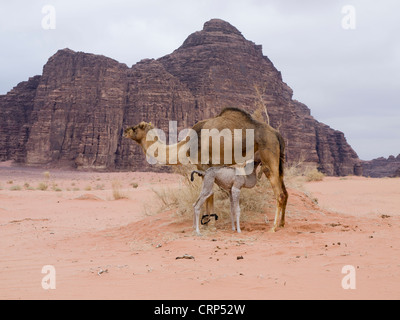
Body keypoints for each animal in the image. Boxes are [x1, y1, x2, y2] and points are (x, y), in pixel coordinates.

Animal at [122, 108, 288, 232]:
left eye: (136, 127)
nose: (125, 130)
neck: (187, 145)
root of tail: (277, 134)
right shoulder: (203, 170)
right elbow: (207, 195)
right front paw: (206, 223)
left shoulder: (206, 166)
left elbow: (209, 195)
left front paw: (211, 224)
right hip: (279, 162)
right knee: (285, 192)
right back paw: (282, 224)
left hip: (269, 158)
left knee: (279, 193)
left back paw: (273, 227)